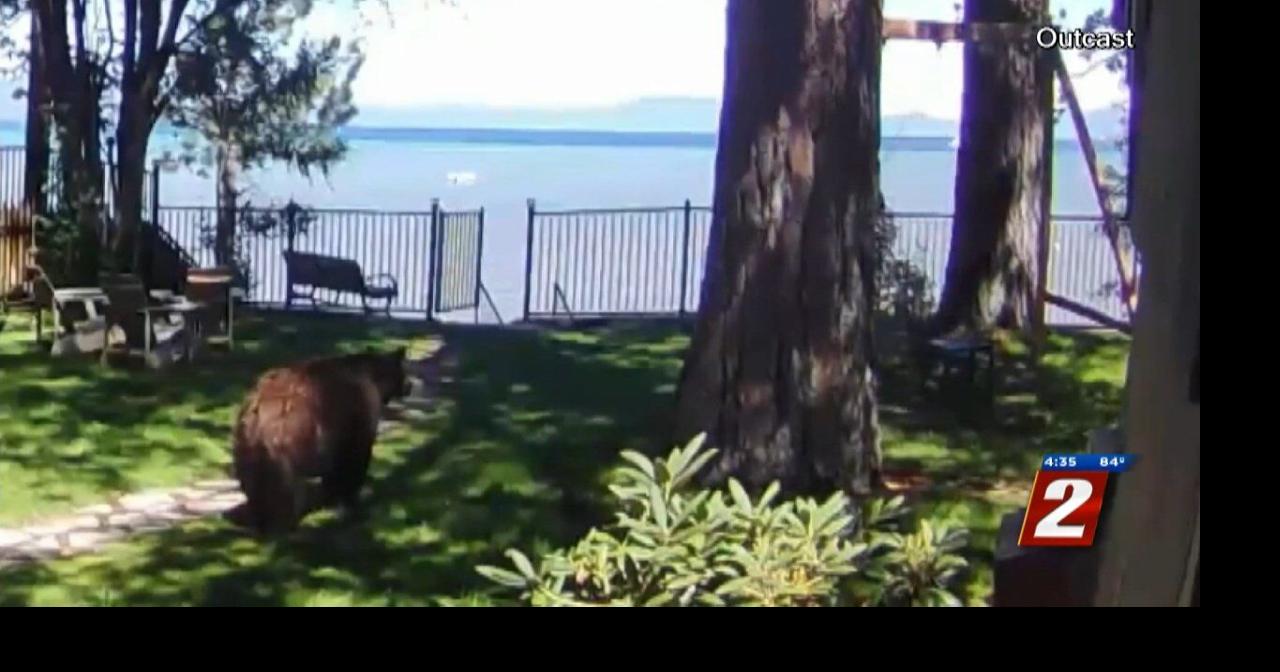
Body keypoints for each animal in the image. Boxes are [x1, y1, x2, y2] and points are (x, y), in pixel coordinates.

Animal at [231, 347, 411, 534]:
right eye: (404, 370)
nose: (410, 386)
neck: (373, 377)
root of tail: (256, 415)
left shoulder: (336, 435)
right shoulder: (358, 417)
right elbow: (356, 458)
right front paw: (351, 498)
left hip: (245, 446)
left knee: (253, 484)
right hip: (284, 445)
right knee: (285, 488)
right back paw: (284, 523)